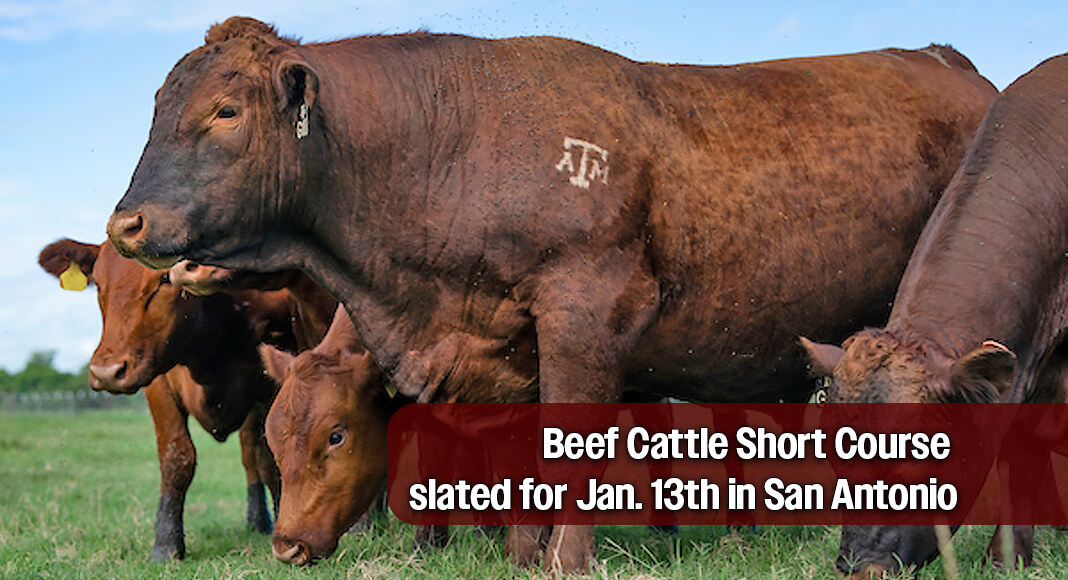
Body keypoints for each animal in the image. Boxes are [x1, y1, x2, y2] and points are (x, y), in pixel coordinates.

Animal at [39, 239, 285, 561]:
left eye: (166, 278)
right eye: (98, 283)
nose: (106, 372)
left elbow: (273, 459)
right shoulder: (157, 383)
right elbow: (176, 456)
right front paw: (167, 545)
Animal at [105, 17, 996, 573]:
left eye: (225, 111)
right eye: (156, 109)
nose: (126, 221)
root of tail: (948, 60)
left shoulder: (584, 320)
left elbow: (567, 445)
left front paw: (565, 562)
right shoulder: (503, 351)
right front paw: (521, 556)